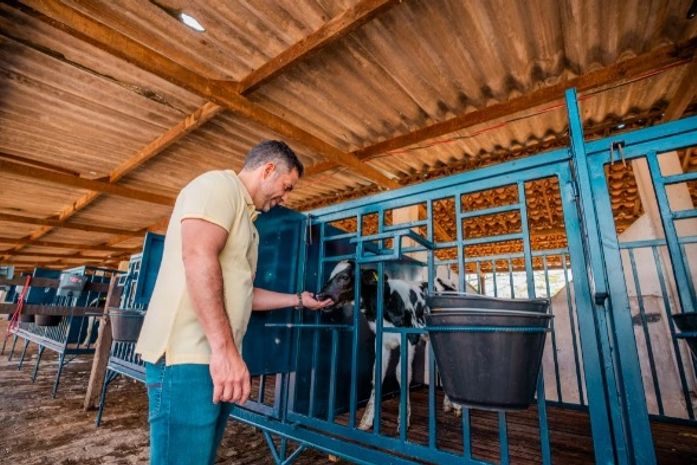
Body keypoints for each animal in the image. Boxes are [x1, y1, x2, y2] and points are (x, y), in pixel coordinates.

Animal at [316, 260, 460, 430]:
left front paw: (403, 419)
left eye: (344, 277)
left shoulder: (409, 338)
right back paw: (449, 404)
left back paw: (457, 405)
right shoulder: (382, 341)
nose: (319, 296)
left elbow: (402, 374)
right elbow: (377, 373)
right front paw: (366, 419)